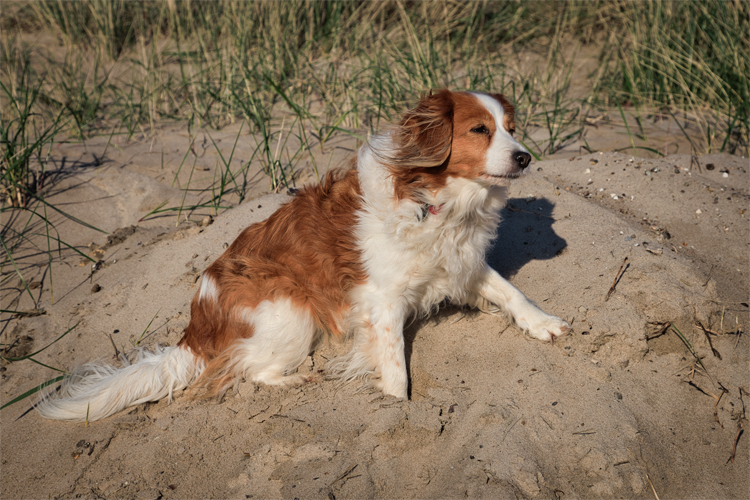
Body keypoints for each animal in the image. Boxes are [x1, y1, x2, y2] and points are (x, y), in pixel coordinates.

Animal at [36, 91, 568, 422]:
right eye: (480, 129)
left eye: (512, 128)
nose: (525, 156)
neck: (434, 199)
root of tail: (197, 326)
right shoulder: (383, 303)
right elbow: (395, 367)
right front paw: (397, 408)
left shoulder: (462, 263)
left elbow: (510, 291)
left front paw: (543, 323)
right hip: (291, 312)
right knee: (247, 369)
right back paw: (298, 380)